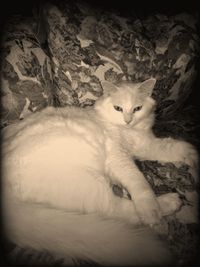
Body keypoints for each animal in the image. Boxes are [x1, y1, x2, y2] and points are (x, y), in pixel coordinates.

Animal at [1, 77, 198, 266]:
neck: (124, 129)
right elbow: (140, 183)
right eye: (118, 108)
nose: (128, 120)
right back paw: (168, 205)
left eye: (137, 108)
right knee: (119, 210)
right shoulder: (118, 158)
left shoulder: (146, 145)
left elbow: (173, 148)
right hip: (89, 185)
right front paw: (150, 210)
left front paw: (193, 158)